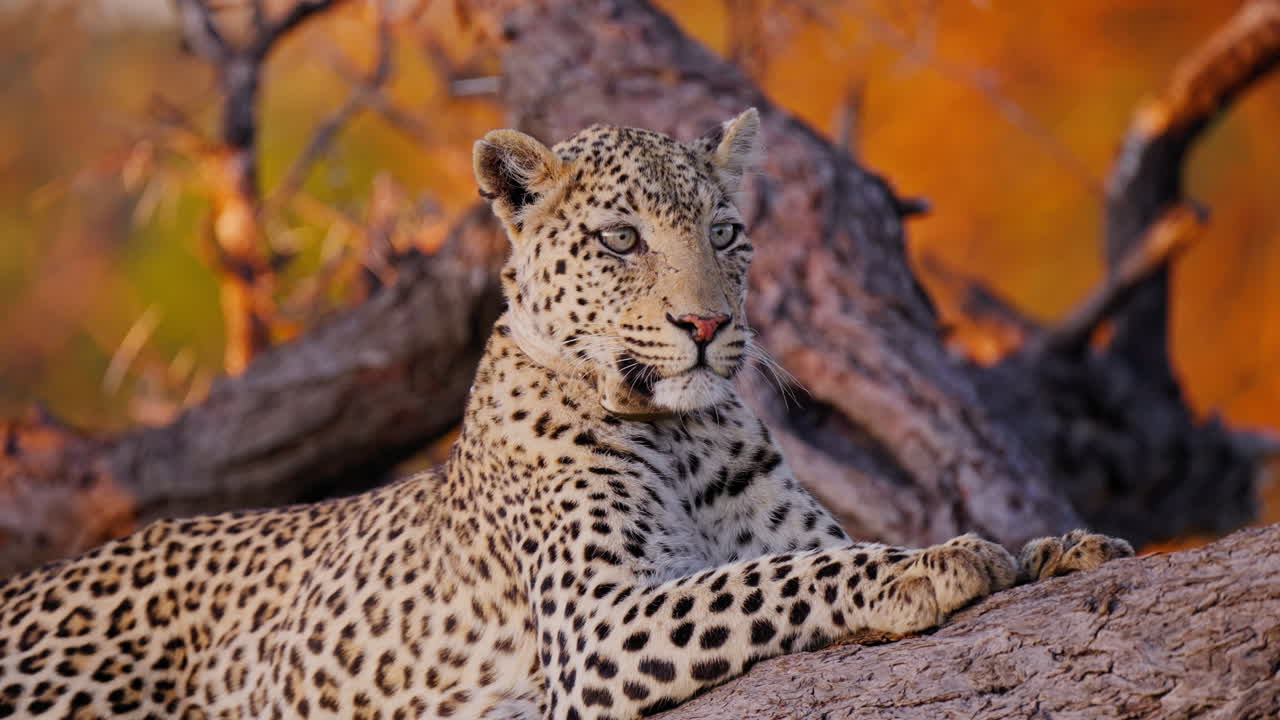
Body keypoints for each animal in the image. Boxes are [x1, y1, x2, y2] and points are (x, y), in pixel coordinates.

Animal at [0, 108, 1134, 720]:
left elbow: (803, 554)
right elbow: (775, 579)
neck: (683, 436)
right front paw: (929, 564)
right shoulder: (598, 628)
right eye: (621, 240)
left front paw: (1061, 547)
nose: (706, 323)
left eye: (726, 231)